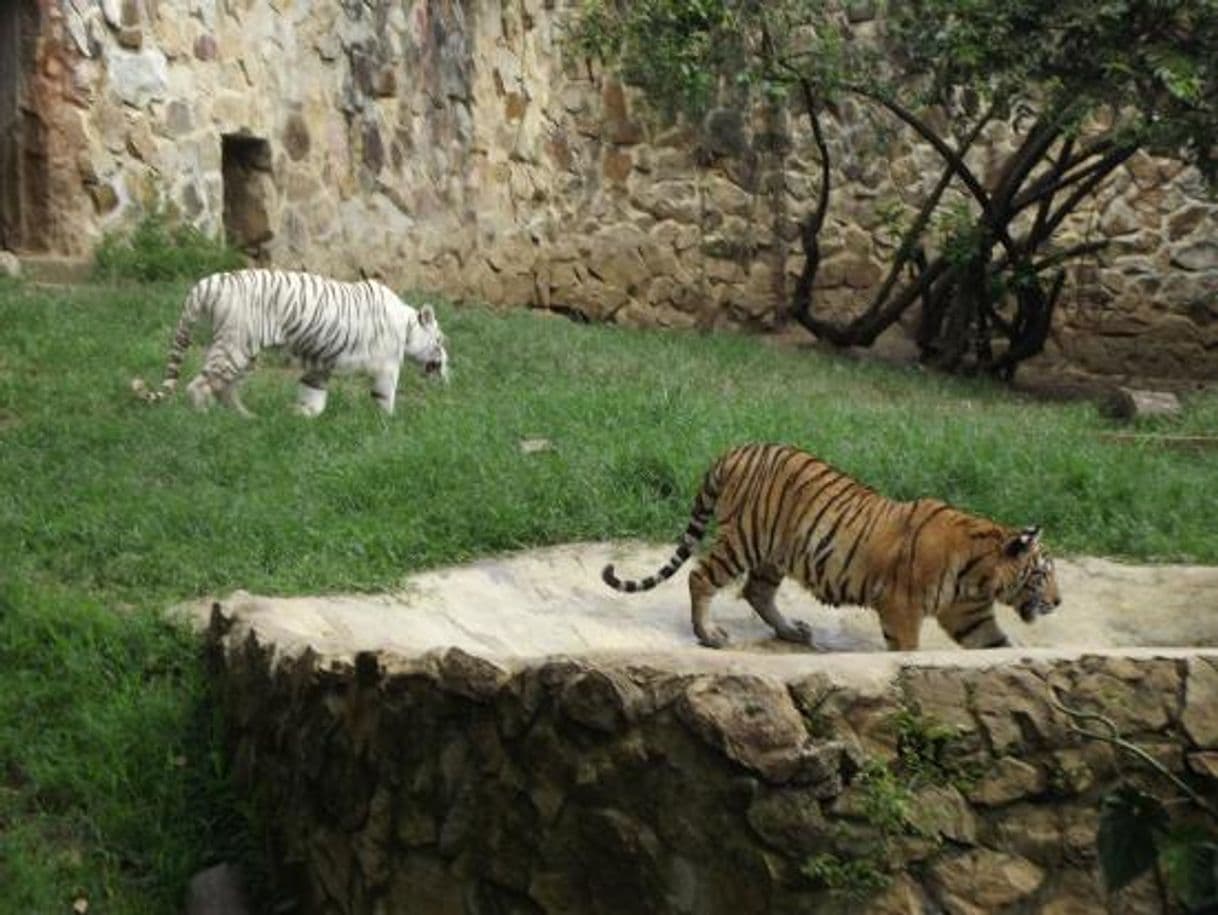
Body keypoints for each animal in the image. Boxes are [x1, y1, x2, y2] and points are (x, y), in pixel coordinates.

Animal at [129, 268, 453, 419]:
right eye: (439, 341)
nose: (447, 366)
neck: (407, 326)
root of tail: (208, 283)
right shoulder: (387, 367)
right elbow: (386, 399)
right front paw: (389, 424)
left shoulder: (321, 363)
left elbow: (314, 397)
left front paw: (300, 415)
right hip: (235, 347)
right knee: (199, 385)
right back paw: (205, 416)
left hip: (246, 354)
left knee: (225, 388)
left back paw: (247, 418)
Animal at [604, 443, 1062, 653]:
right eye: (1042, 574)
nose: (1058, 602)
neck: (980, 576)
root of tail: (736, 450)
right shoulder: (901, 606)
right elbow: (907, 649)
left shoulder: (970, 617)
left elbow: (996, 648)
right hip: (745, 540)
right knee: (701, 577)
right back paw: (709, 634)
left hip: (775, 552)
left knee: (756, 591)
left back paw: (791, 631)